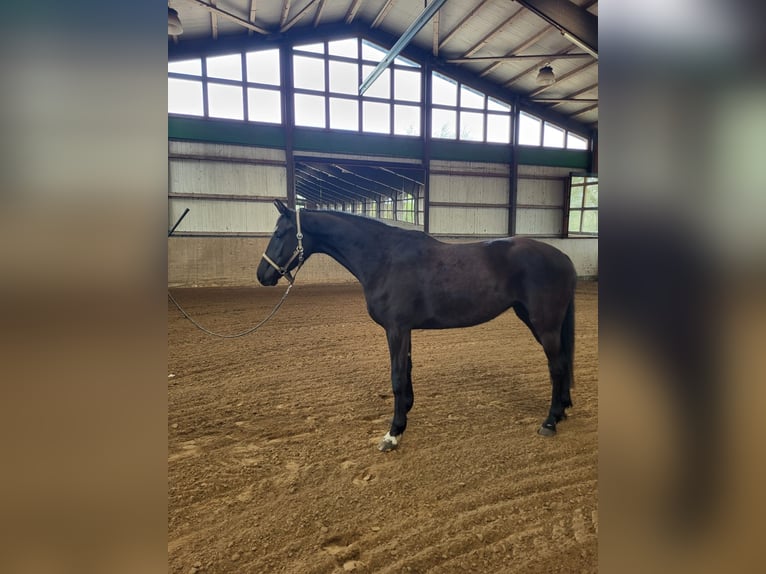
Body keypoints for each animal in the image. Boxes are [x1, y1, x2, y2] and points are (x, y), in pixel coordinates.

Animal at [257, 200, 577, 452]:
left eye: (279, 233)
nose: (262, 275)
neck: (383, 258)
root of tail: (563, 257)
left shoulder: (396, 329)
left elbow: (397, 376)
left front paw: (393, 433)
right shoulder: (404, 330)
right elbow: (407, 371)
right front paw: (405, 415)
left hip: (544, 324)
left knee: (557, 367)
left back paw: (549, 422)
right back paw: (561, 411)